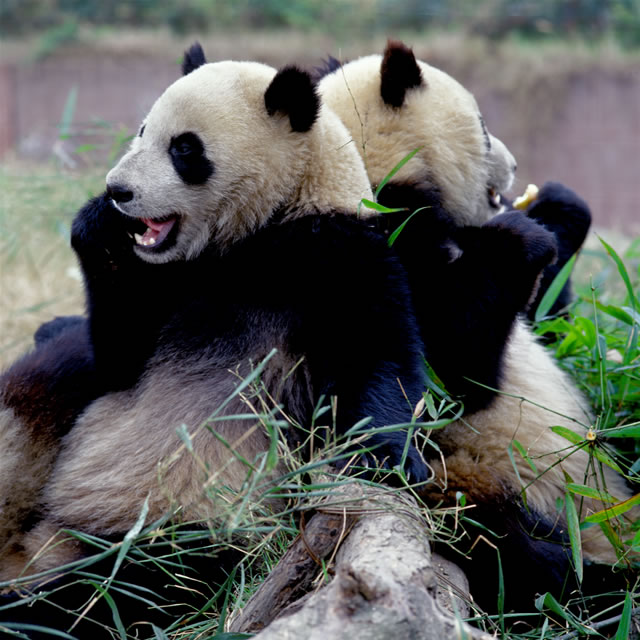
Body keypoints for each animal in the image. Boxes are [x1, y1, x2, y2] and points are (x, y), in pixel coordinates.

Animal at [318, 40, 632, 608]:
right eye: (484, 127)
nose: (514, 164)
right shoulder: (378, 243)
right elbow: (455, 373)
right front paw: (520, 238)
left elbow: (548, 322)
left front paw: (556, 208)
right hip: (473, 482)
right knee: (504, 546)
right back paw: (590, 582)